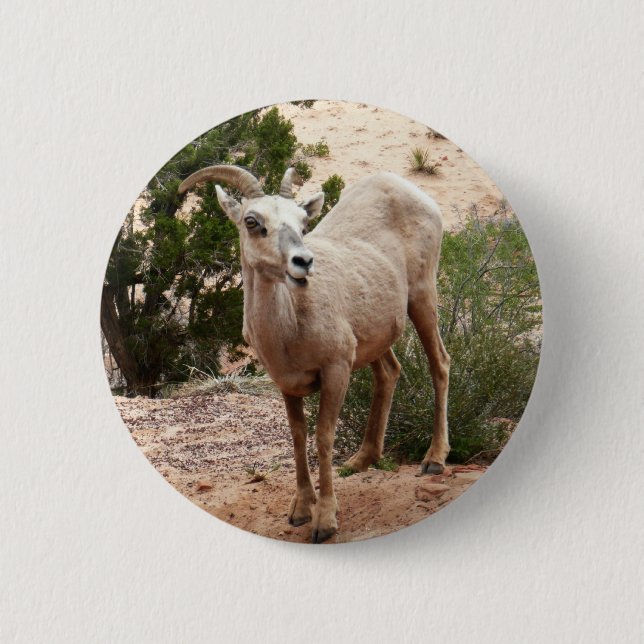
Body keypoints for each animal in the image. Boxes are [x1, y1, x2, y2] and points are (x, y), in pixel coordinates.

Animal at [179, 165, 450, 543]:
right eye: (252, 221)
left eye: (303, 223)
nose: (303, 262)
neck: (289, 327)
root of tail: (406, 187)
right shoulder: (286, 384)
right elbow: (297, 436)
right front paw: (300, 511)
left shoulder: (336, 370)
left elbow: (323, 437)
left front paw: (324, 521)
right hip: (376, 336)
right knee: (389, 372)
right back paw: (360, 461)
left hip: (422, 298)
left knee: (440, 364)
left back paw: (434, 459)